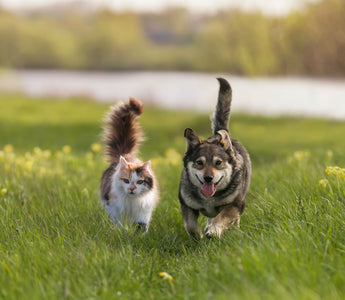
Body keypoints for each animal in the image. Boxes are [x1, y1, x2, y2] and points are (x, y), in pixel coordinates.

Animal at [99, 97, 159, 231]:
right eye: (126, 180)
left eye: (140, 182)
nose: (132, 188)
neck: (131, 202)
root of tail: (125, 154)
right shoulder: (114, 207)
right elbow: (118, 223)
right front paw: (120, 232)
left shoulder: (144, 210)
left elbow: (141, 225)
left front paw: (138, 235)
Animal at [179, 78, 251, 239]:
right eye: (199, 163)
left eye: (218, 163)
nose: (208, 178)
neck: (209, 199)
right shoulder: (187, 205)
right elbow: (190, 225)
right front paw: (197, 236)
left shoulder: (235, 205)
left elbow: (222, 217)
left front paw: (214, 230)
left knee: (233, 220)